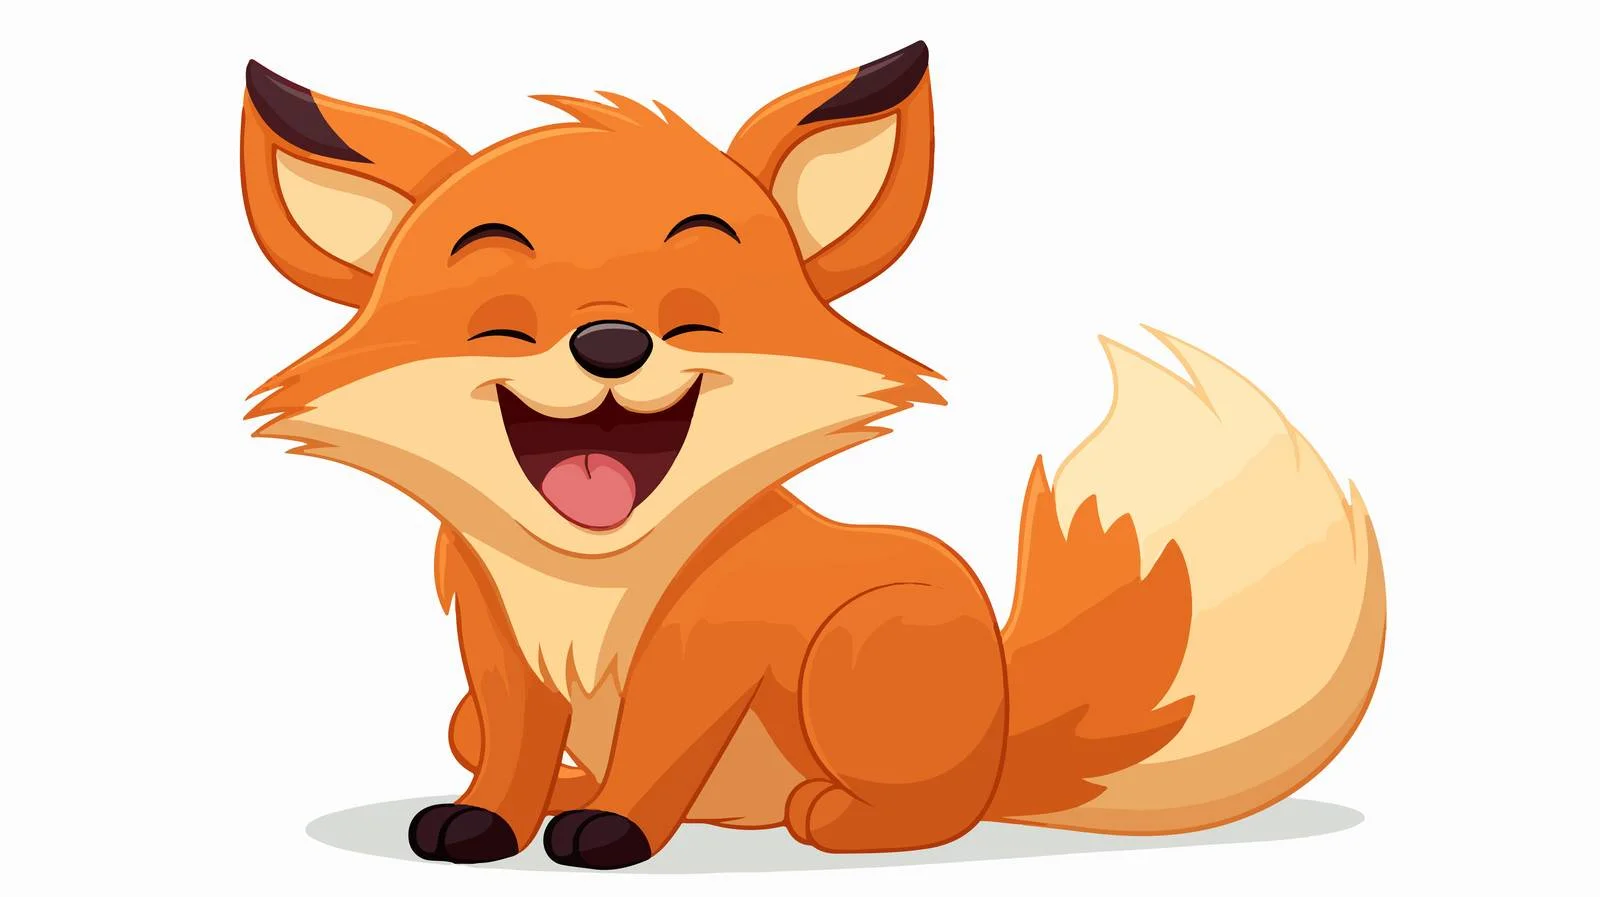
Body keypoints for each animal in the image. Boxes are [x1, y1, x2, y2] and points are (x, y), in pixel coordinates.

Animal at [239, 41, 1385, 870]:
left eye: (693, 316)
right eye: (504, 321)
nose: (611, 343)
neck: (593, 581)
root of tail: (1008, 733)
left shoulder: (703, 649)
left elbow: (656, 751)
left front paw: (615, 830)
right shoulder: (496, 656)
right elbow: (513, 757)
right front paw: (494, 820)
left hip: (864, 643)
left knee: (941, 812)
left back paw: (830, 815)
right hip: (470, 715)